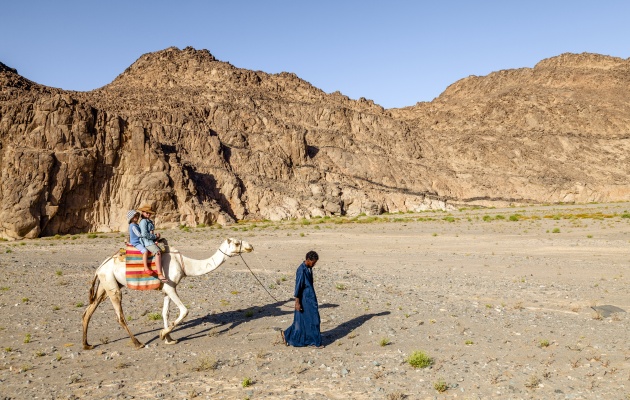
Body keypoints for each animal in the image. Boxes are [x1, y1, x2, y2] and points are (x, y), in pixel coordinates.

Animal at [81, 238, 254, 350]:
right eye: (237, 243)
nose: (250, 246)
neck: (184, 264)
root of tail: (99, 268)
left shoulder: (167, 289)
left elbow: (165, 313)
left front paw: (169, 339)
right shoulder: (171, 287)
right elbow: (184, 311)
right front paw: (163, 333)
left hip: (105, 285)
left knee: (88, 311)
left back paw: (86, 344)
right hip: (112, 286)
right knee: (120, 316)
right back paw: (138, 343)